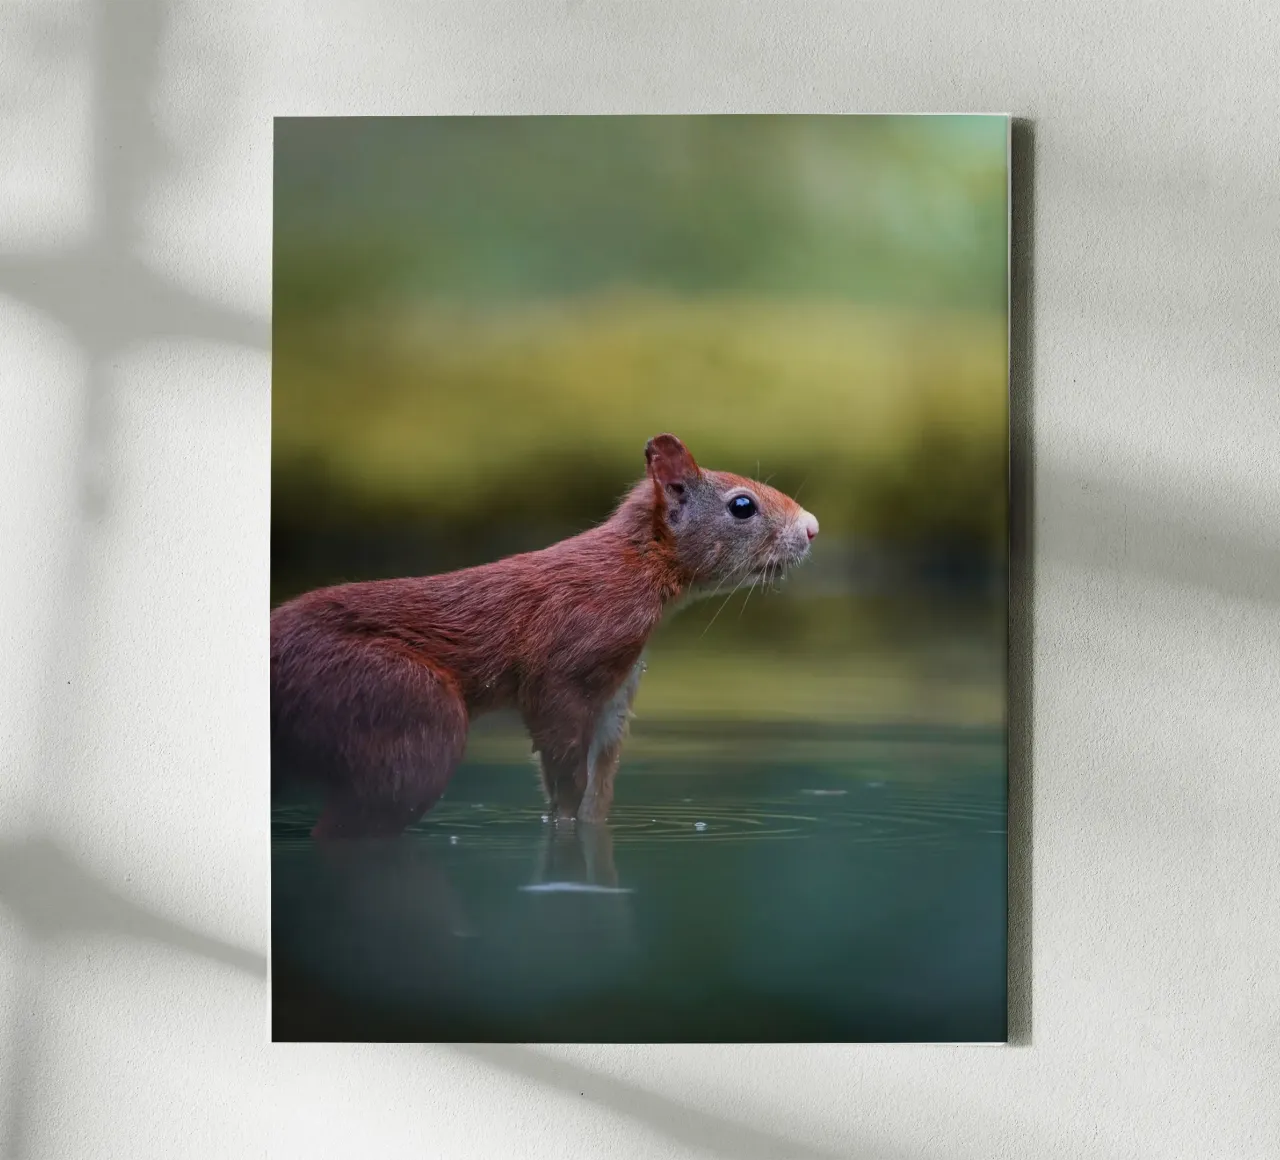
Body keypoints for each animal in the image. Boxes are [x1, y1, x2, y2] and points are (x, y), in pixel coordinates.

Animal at [270, 434, 818, 840]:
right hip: (399, 706)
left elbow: (598, 784)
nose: (812, 528)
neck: (635, 567)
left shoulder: (616, 692)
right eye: (742, 506)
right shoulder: (568, 658)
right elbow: (562, 759)